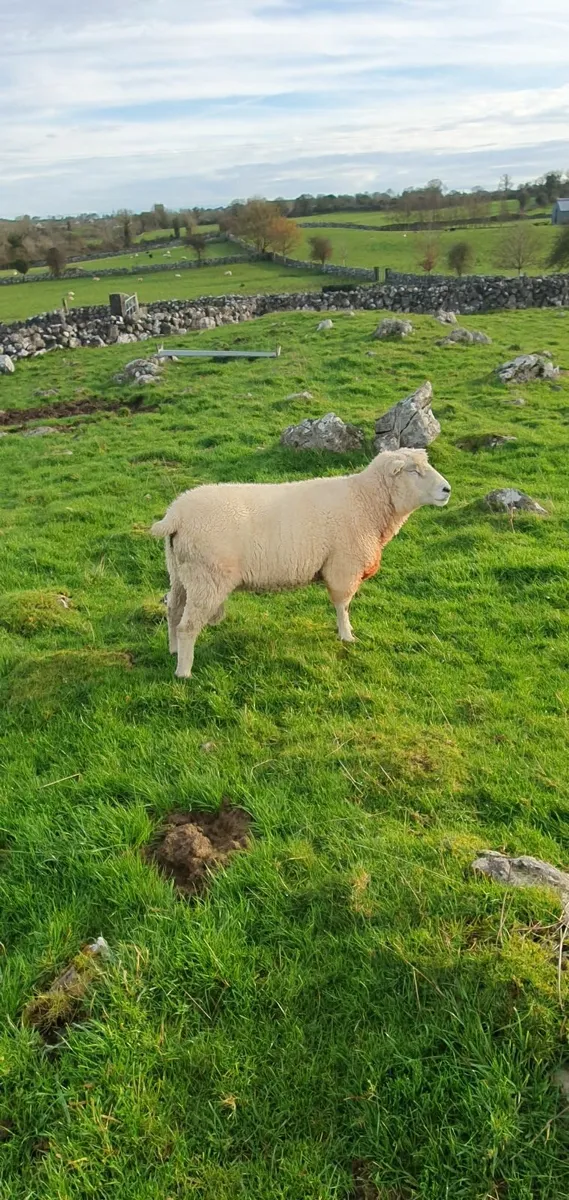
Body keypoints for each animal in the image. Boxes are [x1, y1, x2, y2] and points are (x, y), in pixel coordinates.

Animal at [151, 448, 451, 678]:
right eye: (413, 471)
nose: (447, 489)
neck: (366, 502)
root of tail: (175, 515)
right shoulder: (343, 565)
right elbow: (342, 605)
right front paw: (347, 636)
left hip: (180, 573)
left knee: (173, 610)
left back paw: (173, 649)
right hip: (207, 578)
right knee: (188, 625)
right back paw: (184, 672)